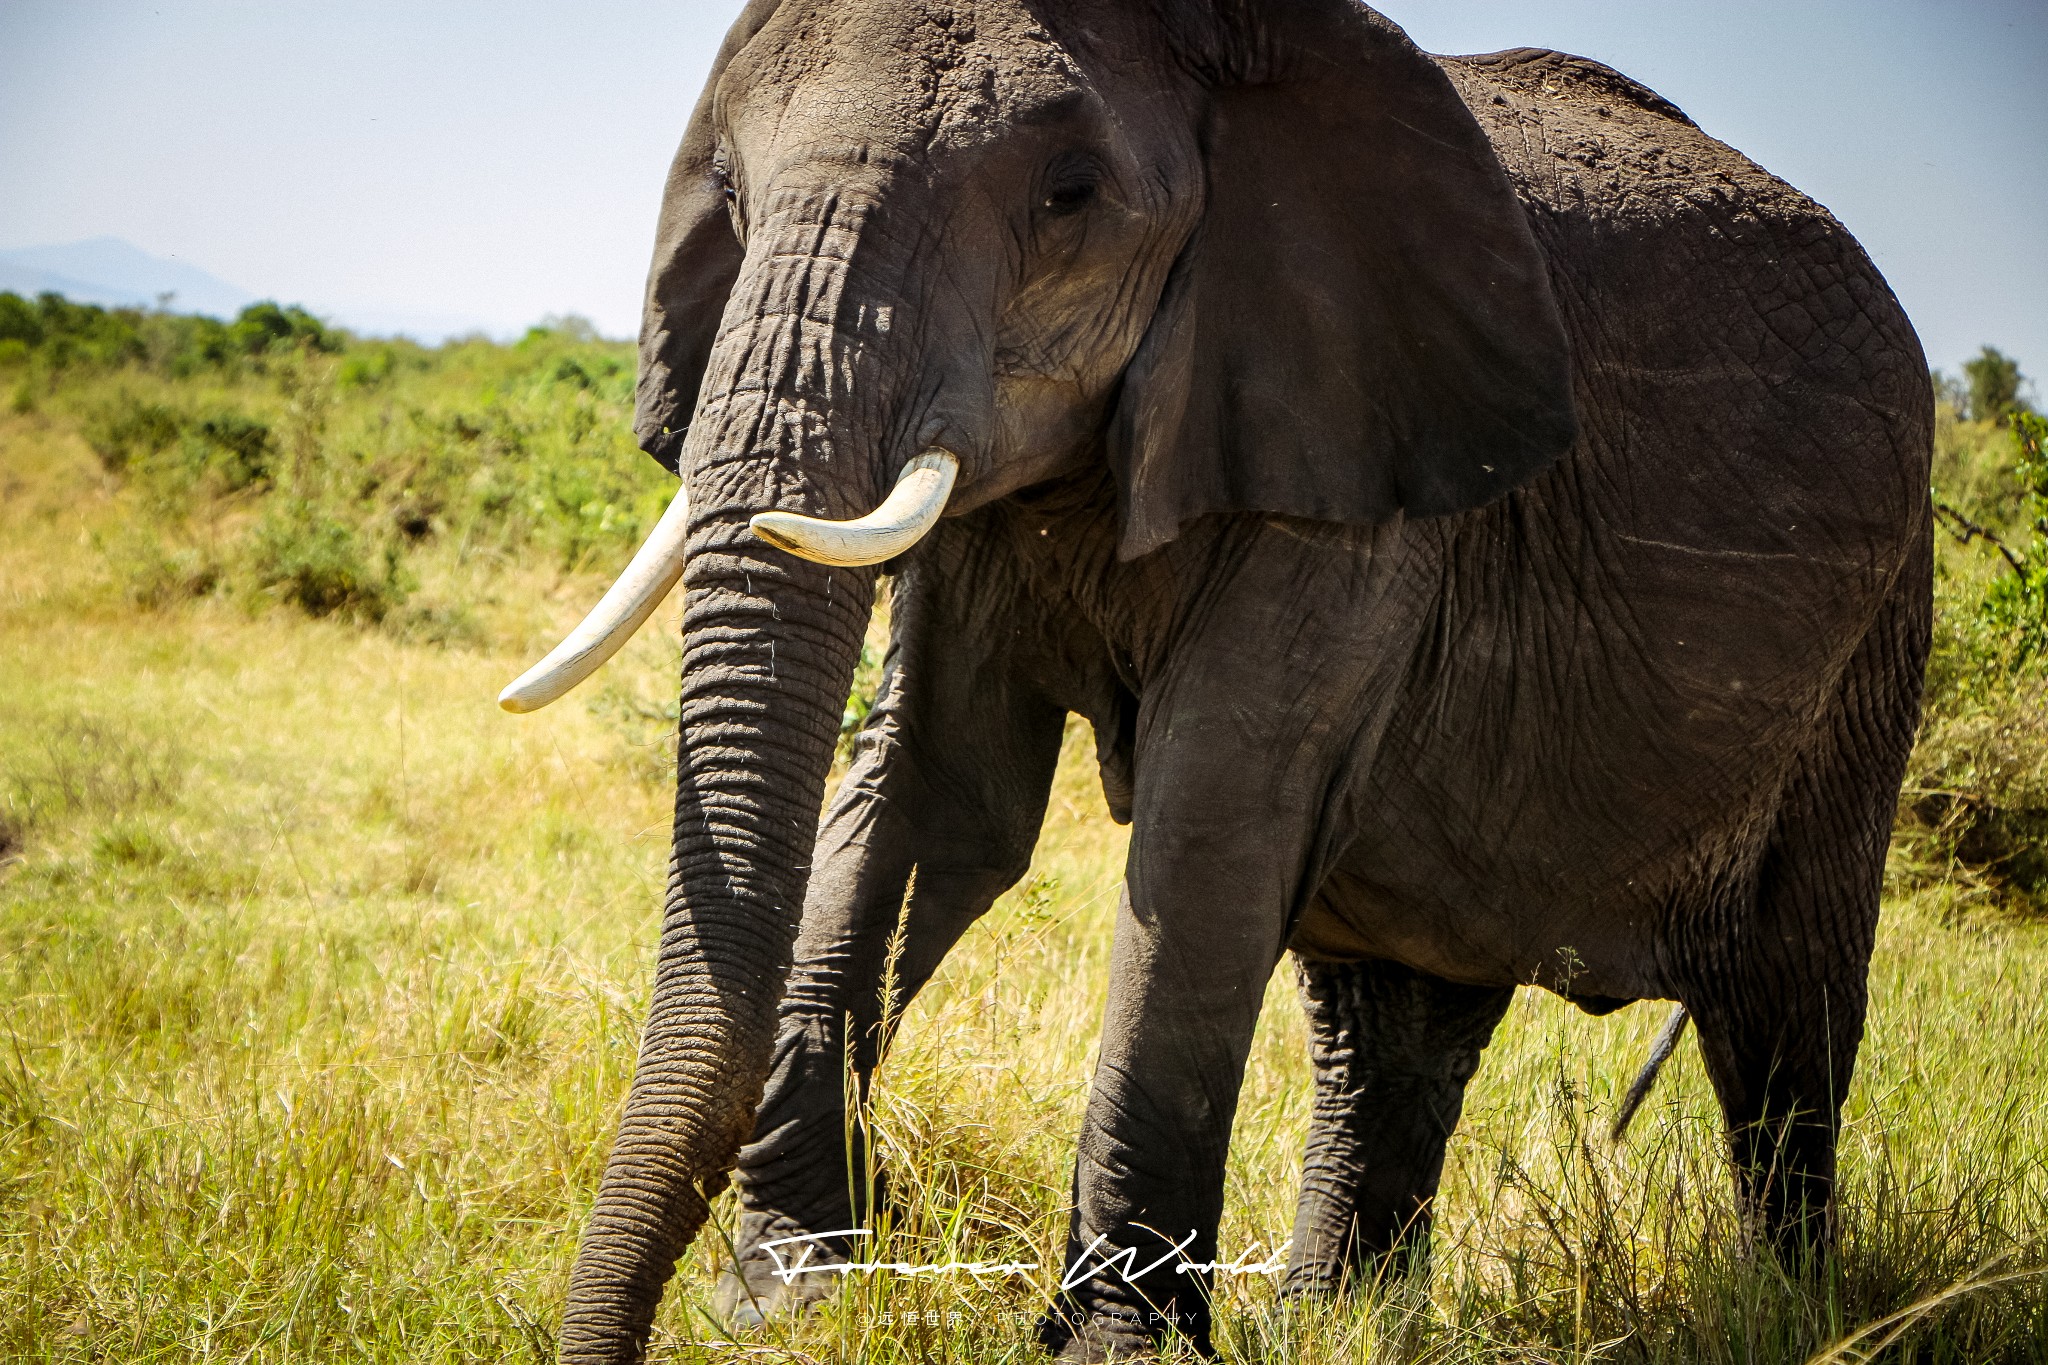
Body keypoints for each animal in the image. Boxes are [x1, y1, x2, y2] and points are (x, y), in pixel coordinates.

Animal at [499, 2, 1933, 1358]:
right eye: (731, 200)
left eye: (1069, 195)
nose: (602, 1343)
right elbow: (935, 796)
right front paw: (785, 1299)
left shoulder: (1352, 443)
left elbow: (1207, 825)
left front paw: (1108, 1352)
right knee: (1390, 1010)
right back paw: (1339, 1322)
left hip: (1873, 645)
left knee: (1786, 1017)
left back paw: (1793, 1318)